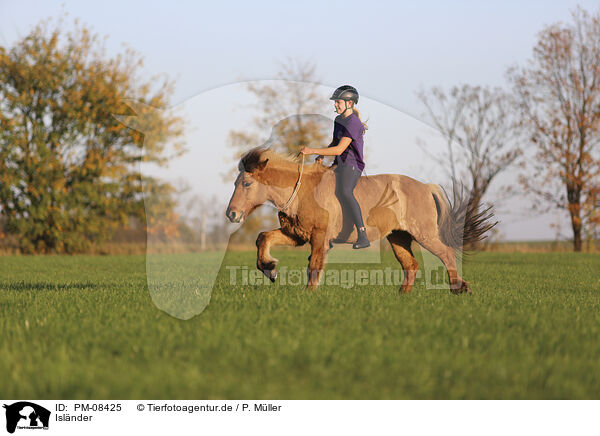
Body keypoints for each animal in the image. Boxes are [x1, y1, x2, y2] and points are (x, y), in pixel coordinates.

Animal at [225, 146, 496, 292]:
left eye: (247, 183)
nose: (232, 214)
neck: (304, 190)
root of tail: (426, 187)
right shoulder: (296, 235)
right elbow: (263, 238)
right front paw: (269, 269)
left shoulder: (319, 237)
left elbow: (314, 267)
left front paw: (308, 294)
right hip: (398, 237)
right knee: (410, 265)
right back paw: (401, 297)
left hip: (424, 234)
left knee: (446, 253)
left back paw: (459, 288)